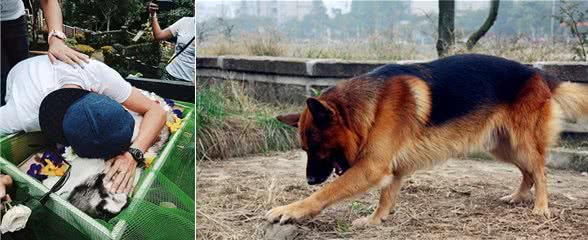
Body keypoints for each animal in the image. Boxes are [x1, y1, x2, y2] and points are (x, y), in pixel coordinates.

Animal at [266, 53, 588, 226]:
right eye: (305, 149)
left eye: (317, 147)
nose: (309, 180)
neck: (369, 106)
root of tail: (537, 73)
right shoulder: (392, 168)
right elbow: (386, 196)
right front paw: (376, 221)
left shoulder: (371, 167)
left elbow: (326, 193)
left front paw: (290, 210)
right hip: (502, 146)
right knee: (529, 172)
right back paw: (519, 197)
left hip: (520, 143)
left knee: (541, 172)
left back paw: (540, 207)